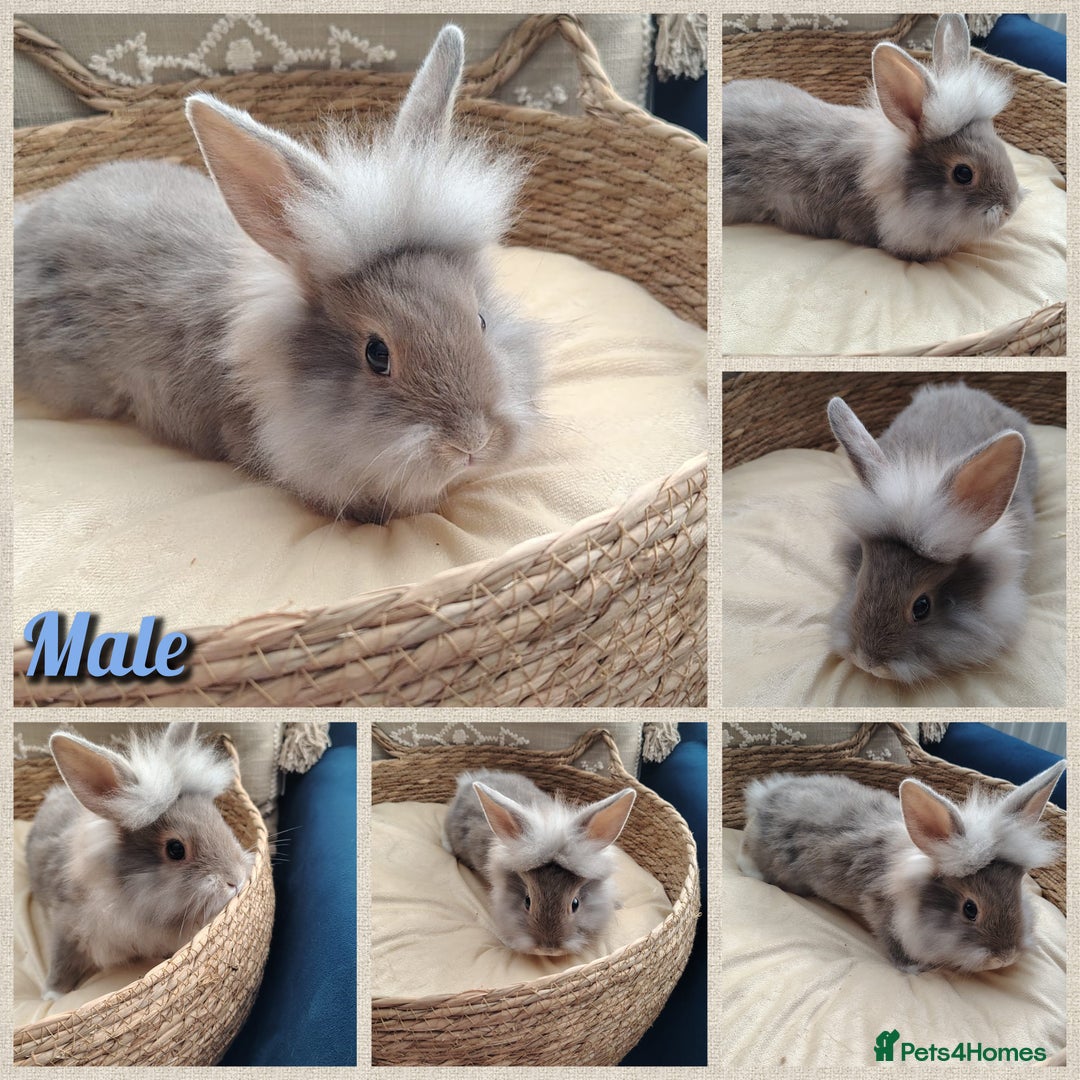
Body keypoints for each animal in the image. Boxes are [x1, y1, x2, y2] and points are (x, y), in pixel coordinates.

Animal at [26, 722, 254, 998]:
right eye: (175, 849)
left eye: (218, 818)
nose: (236, 880)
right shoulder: (67, 924)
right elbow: (62, 959)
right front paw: (52, 994)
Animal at [738, 759, 1066, 973]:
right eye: (970, 909)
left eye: (1017, 894)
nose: (1006, 957)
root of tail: (764, 795)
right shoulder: (880, 908)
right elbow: (893, 941)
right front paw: (914, 968)